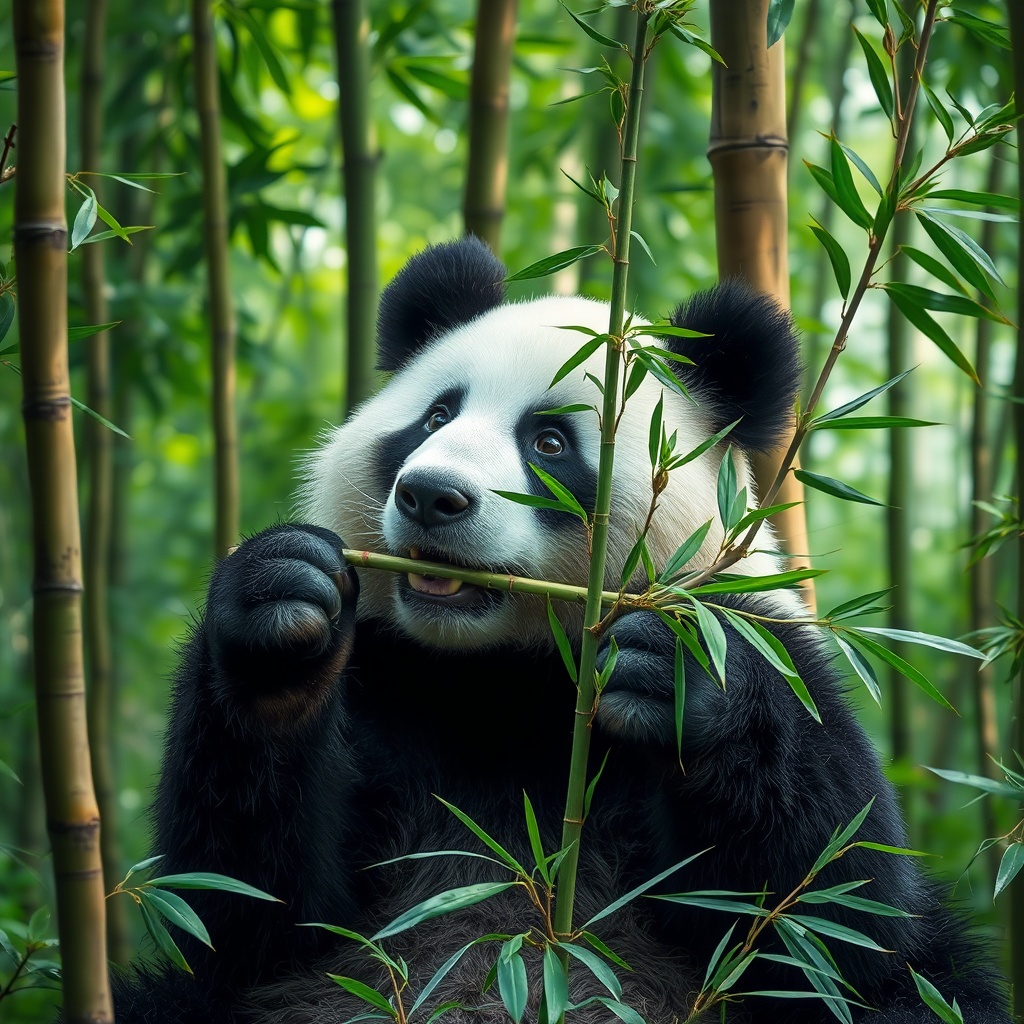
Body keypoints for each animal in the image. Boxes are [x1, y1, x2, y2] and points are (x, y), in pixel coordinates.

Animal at [115, 237, 1010, 1024]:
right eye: (435, 416)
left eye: (548, 441)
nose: (431, 495)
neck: (503, 667)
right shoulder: (387, 677)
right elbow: (249, 910)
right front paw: (283, 615)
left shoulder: (763, 635)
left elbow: (830, 911)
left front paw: (679, 674)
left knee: (925, 988)